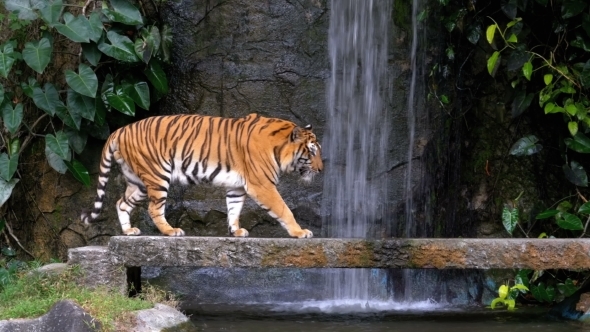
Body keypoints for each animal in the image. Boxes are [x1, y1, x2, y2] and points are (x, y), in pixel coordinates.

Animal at [81, 113, 324, 237]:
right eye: (312, 151)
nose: (322, 169)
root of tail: (121, 129)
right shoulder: (262, 185)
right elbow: (283, 209)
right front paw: (300, 232)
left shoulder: (237, 187)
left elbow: (233, 209)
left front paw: (235, 231)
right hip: (157, 176)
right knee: (153, 208)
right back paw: (171, 231)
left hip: (139, 181)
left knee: (121, 202)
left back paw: (128, 231)